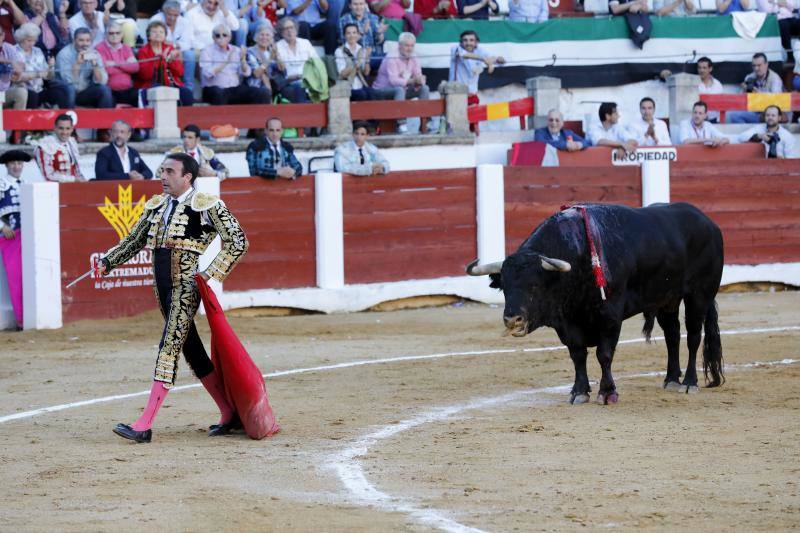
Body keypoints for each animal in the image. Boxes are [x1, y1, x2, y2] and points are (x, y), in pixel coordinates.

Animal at [468, 203, 724, 404]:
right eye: (504, 287)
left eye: (535, 286)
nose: (512, 320)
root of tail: (709, 223)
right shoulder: (568, 323)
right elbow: (577, 354)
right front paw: (579, 392)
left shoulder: (610, 317)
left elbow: (604, 354)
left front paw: (607, 392)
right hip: (666, 300)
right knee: (672, 334)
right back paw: (671, 379)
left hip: (699, 295)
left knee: (693, 336)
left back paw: (689, 382)